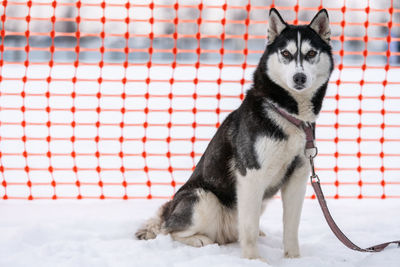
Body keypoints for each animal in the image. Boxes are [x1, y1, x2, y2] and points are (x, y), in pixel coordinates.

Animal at [136, 8, 332, 262]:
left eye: (311, 53)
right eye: (286, 53)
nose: (299, 78)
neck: (288, 113)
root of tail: (169, 210)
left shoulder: (297, 177)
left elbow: (291, 227)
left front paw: (294, 259)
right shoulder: (251, 176)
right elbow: (248, 229)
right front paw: (253, 261)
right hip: (203, 199)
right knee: (170, 231)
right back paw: (199, 239)